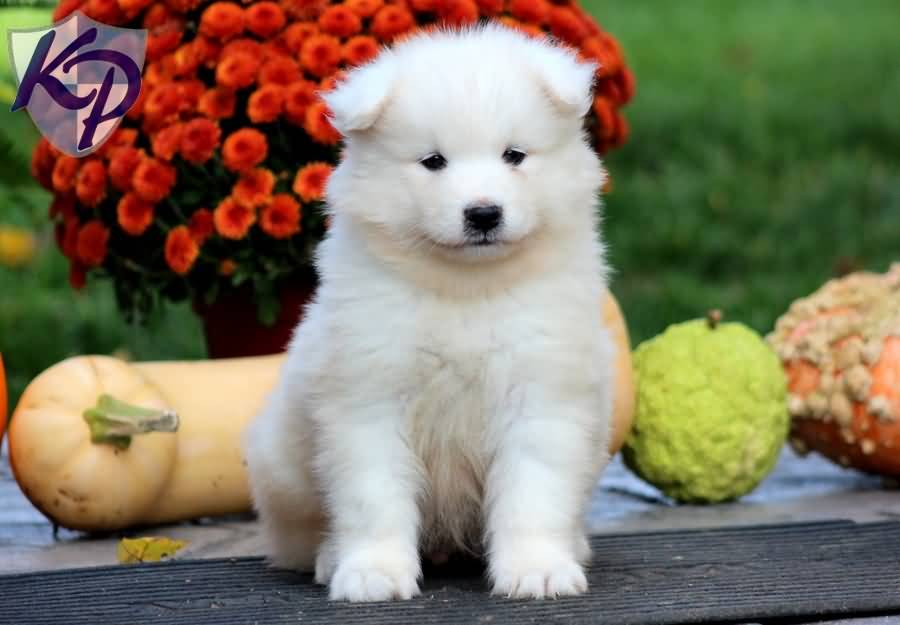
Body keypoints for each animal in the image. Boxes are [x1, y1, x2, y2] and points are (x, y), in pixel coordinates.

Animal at [243, 23, 616, 600]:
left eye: (514, 155)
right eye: (433, 161)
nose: (483, 213)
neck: (465, 288)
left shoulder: (541, 394)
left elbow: (533, 492)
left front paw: (536, 569)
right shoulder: (368, 398)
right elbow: (373, 497)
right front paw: (373, 573)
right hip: (281, 465)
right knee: (300, 535)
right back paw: (330, 557)